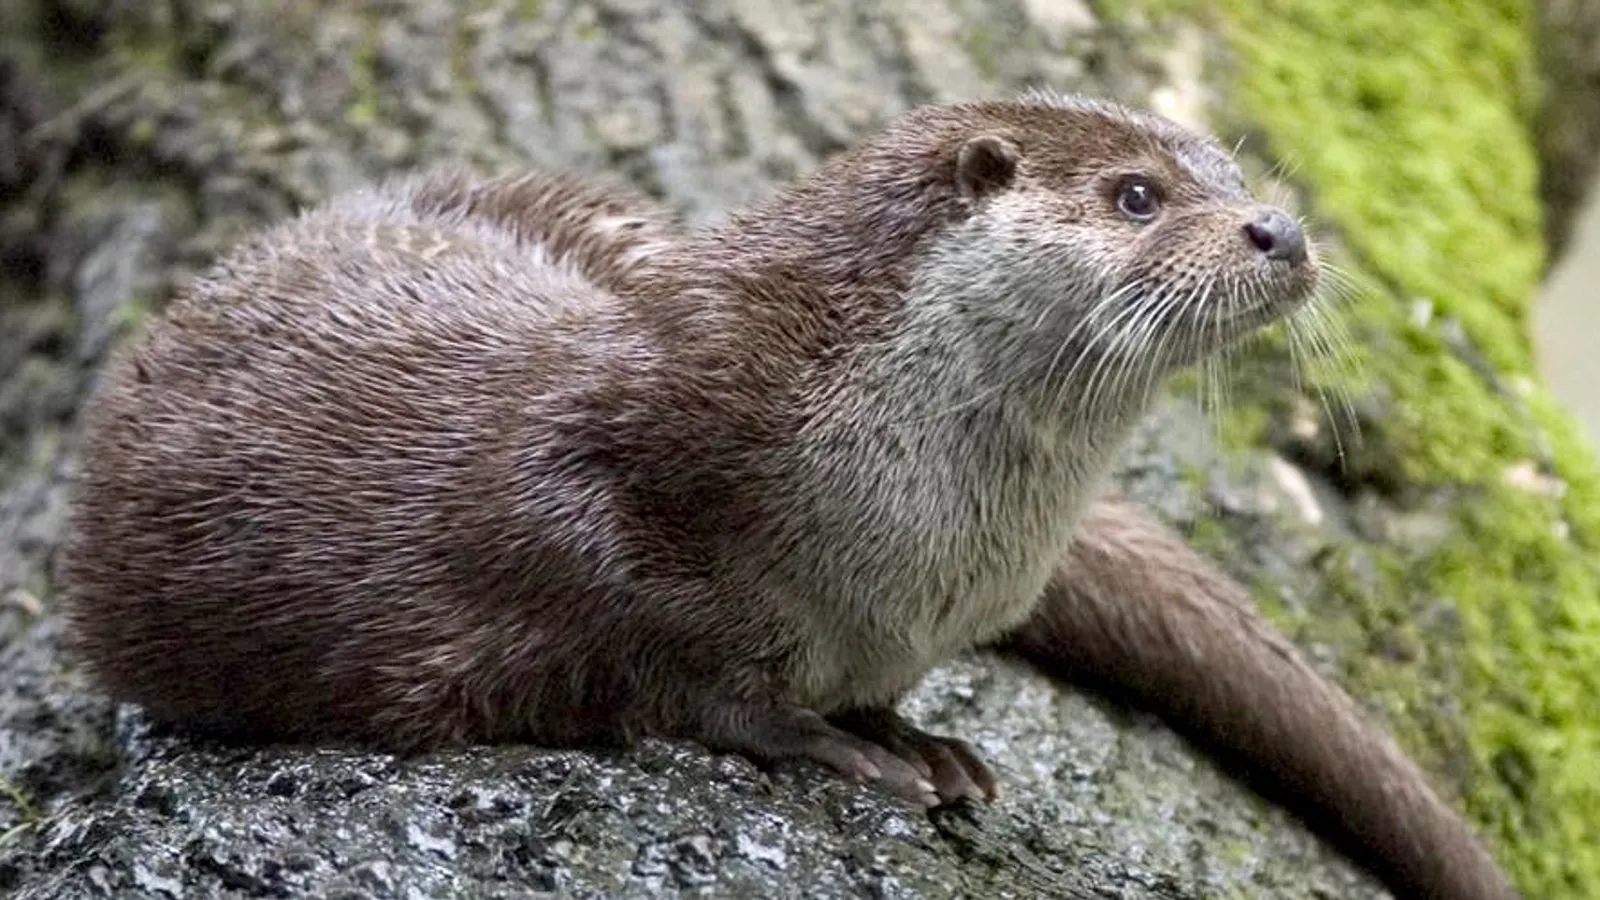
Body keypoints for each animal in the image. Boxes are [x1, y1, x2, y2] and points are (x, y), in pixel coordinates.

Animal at [57, 91, 1518, 900]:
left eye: (1231, 172)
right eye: (1136, 195)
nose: (1281, 229)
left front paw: (911, 733)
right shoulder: (611, 484)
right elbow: (663, 657)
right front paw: (835, 744)